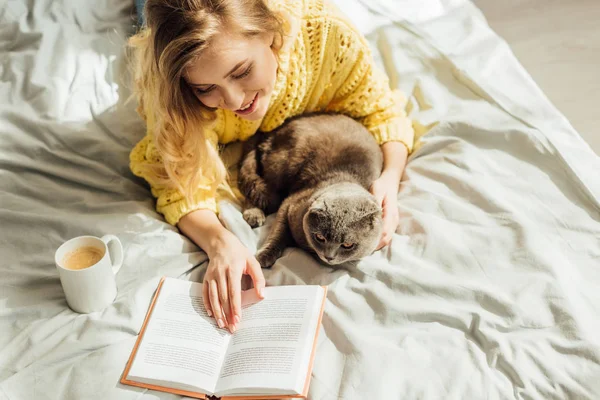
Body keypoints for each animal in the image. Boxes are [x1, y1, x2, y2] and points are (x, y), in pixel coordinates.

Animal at [237, 114, 382, 268]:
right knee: (257, 190)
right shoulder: (290, 204)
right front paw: (265, 255)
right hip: (281, 165)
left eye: (348, 245)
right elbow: (279, 232)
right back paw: (253, 214)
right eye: (320, 237)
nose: (329, 257)